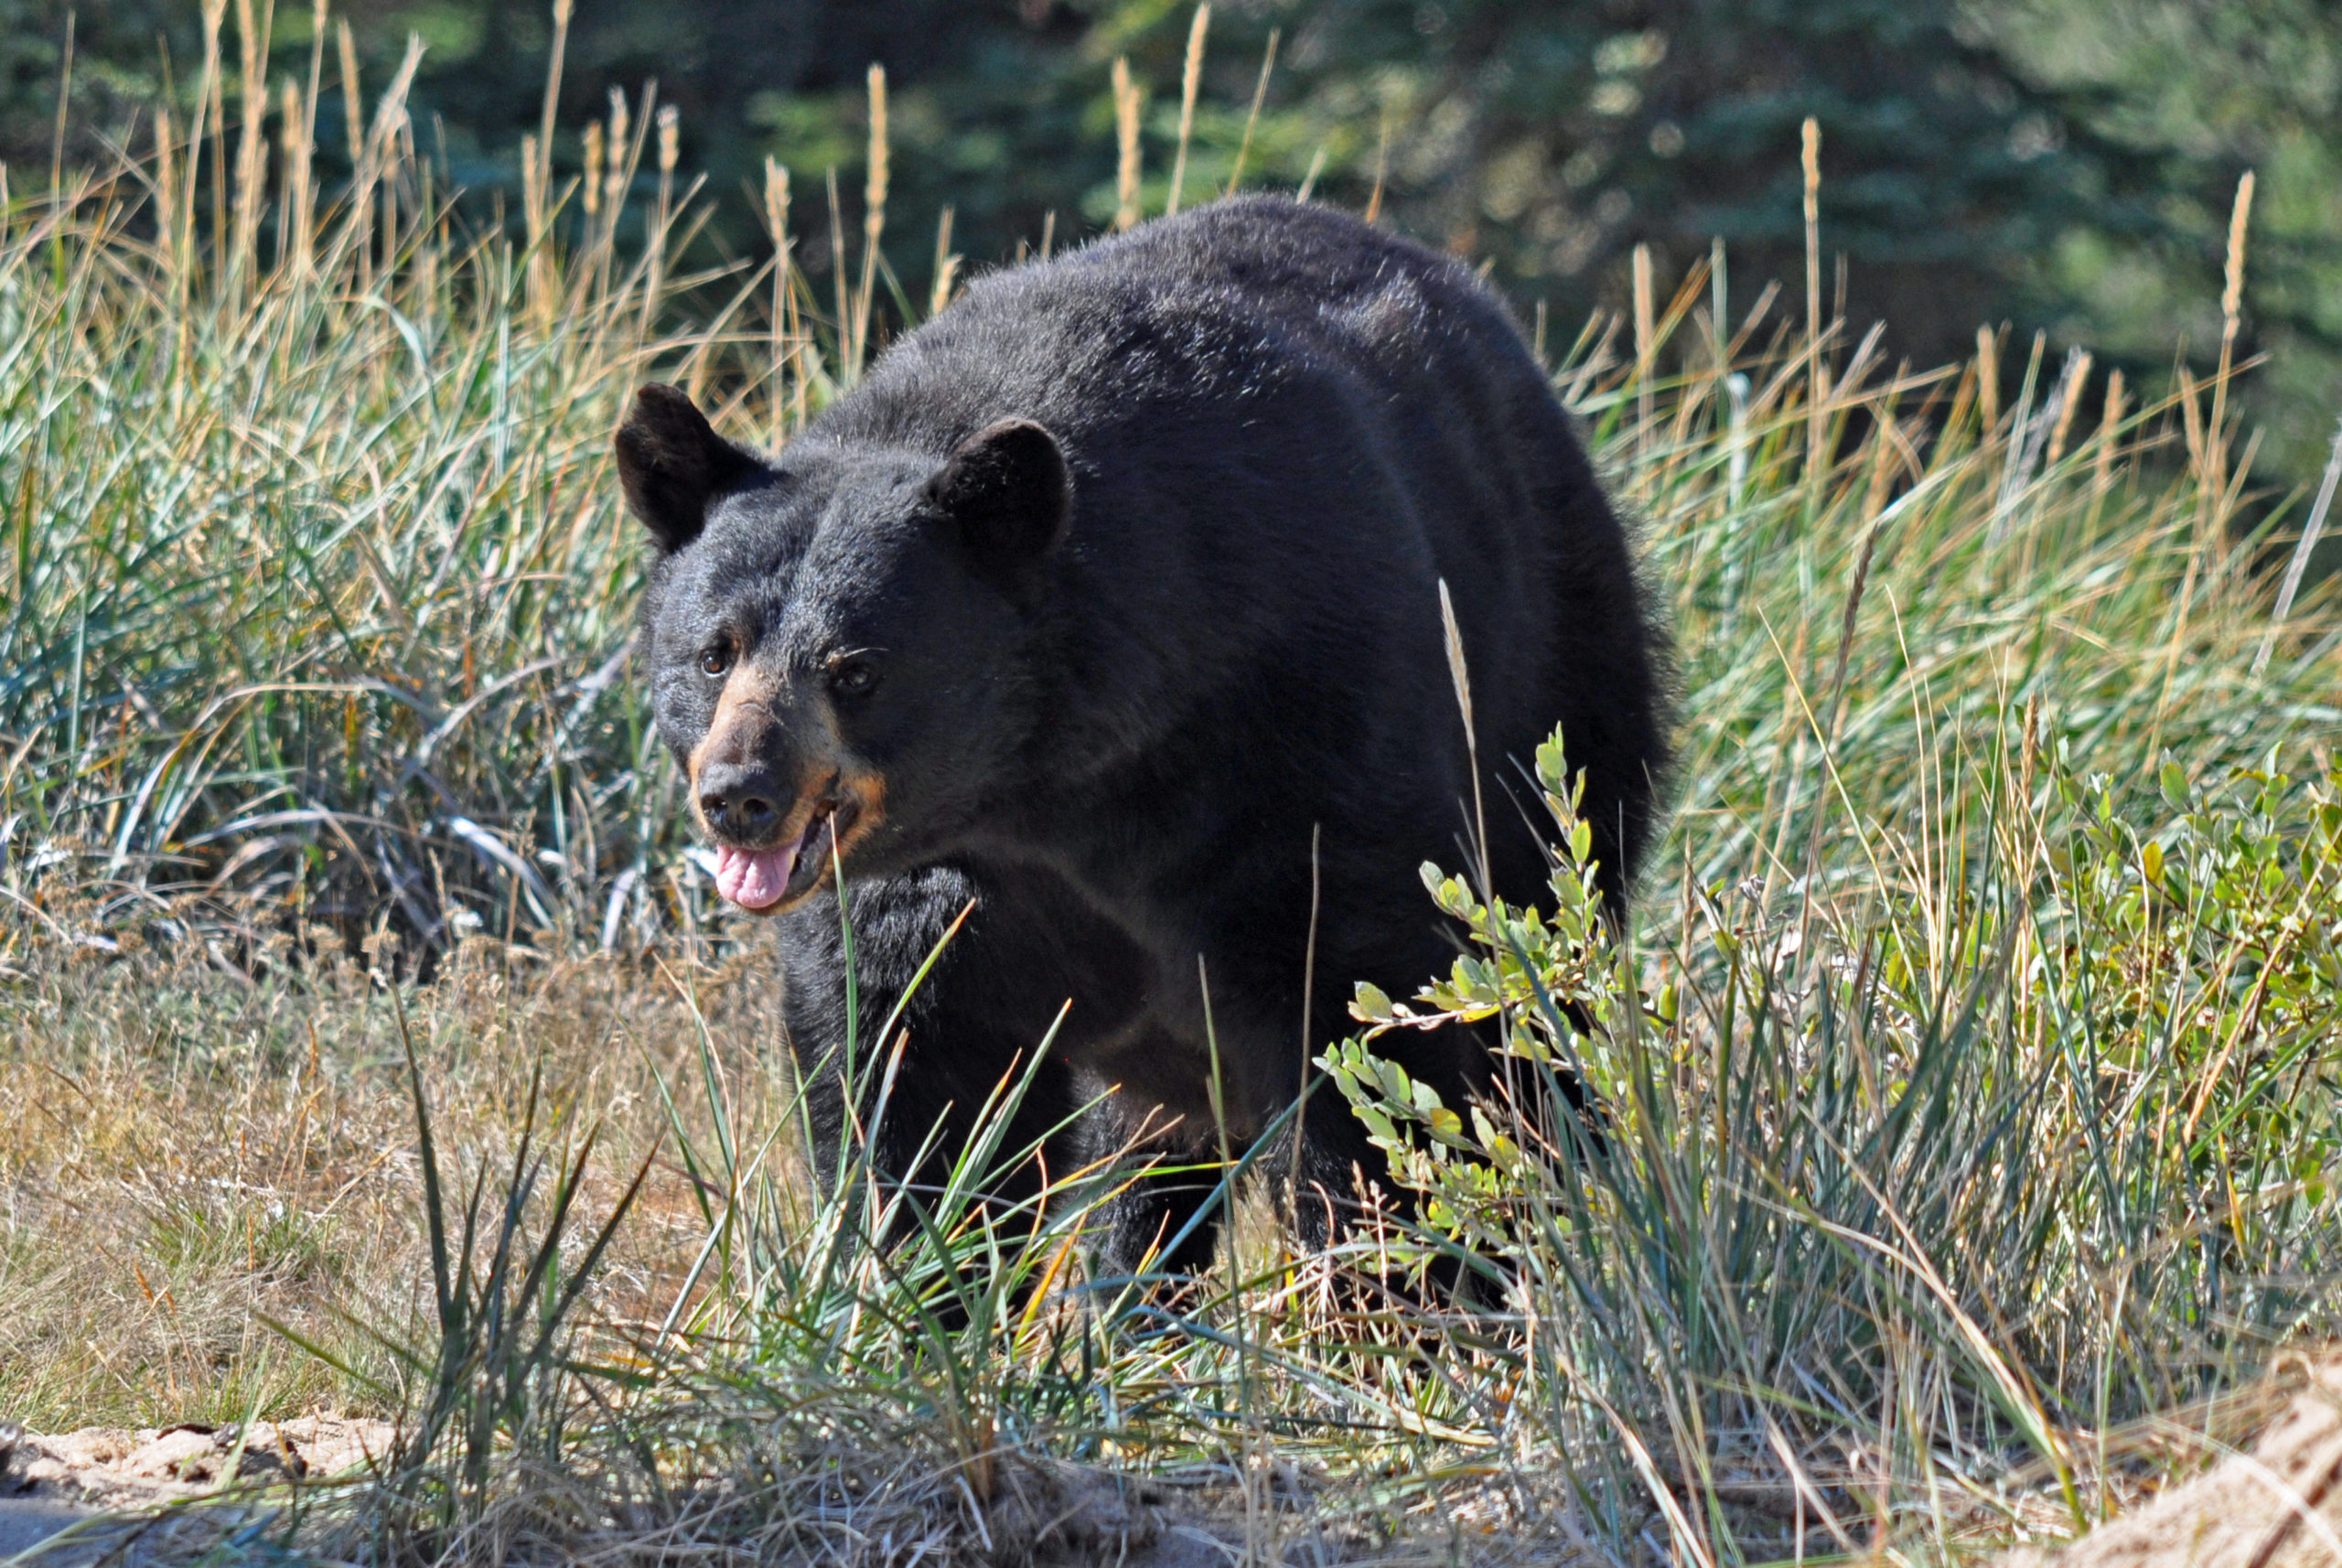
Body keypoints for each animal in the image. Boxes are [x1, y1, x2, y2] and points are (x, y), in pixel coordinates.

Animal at [608, 193, 1667, 1273]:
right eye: (714, 652)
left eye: (855, 669)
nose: (741, 794)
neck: (1051, 793)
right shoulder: (925, 900)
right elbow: (908, 1082)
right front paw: (922, 1273)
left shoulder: (1308, 752)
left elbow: (1374, 1032)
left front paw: (1405, 1276)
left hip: (1556, 698)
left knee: (1539, 988)